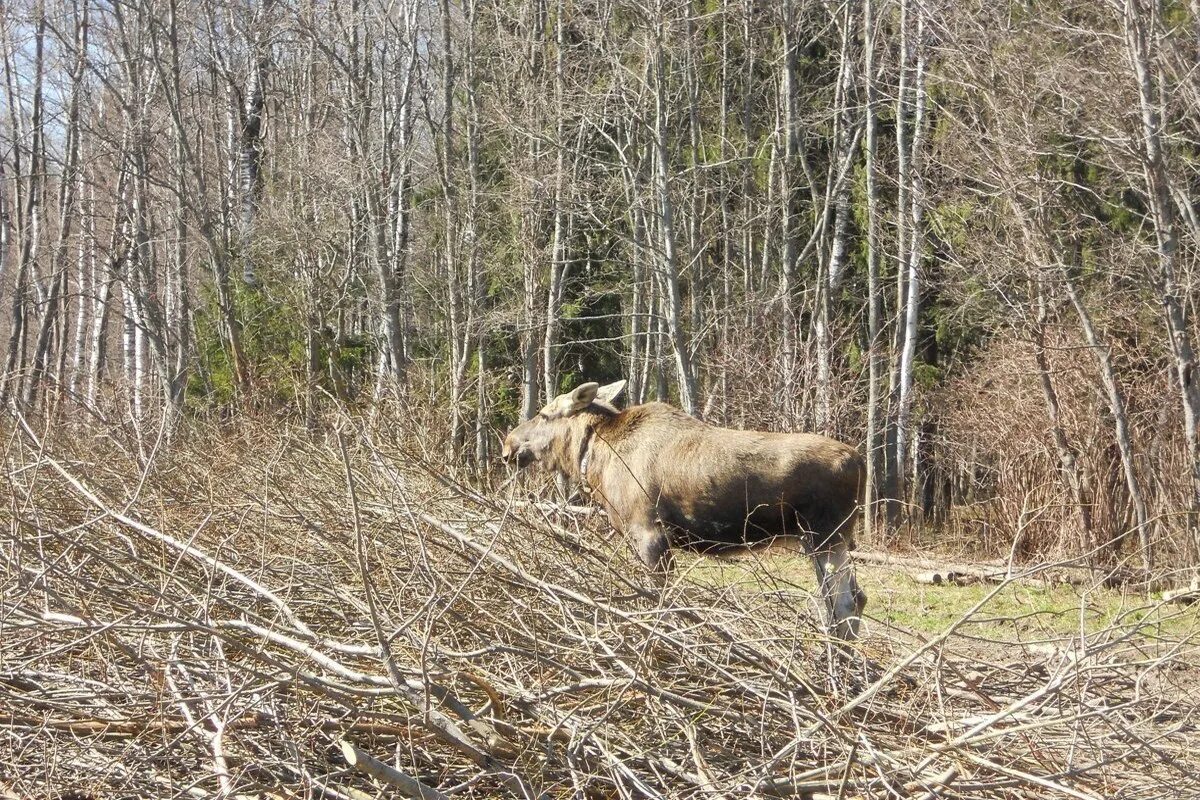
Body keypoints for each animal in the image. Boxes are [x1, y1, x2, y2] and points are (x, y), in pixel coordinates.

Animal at [501, 381, 868, 638]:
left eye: (545, 414)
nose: (508, 444)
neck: (593, 458)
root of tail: (861, 462)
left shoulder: (649, 532)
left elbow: (660, 600)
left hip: (825, 535)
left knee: (844, 604)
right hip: (825, 540)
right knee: (855, 597)